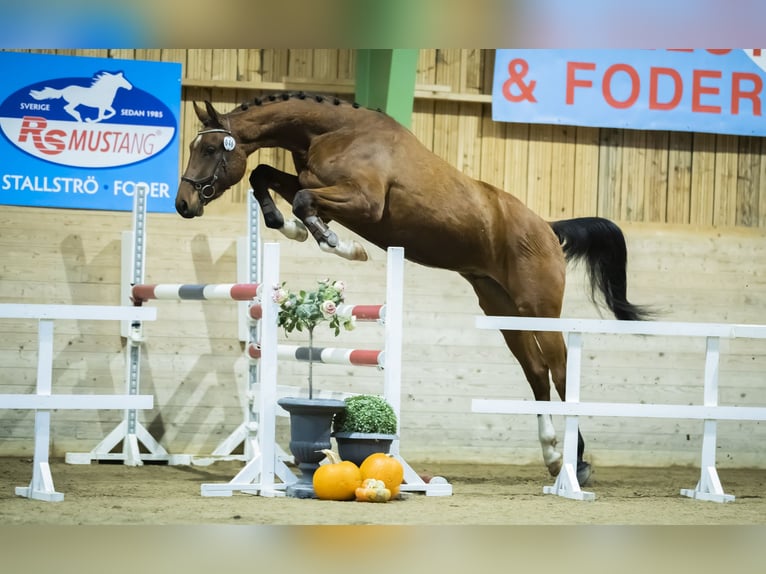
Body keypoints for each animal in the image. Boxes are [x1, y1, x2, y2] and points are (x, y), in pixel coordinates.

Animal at [172, 92, 648, 484]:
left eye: (210, 149)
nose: (183, 204)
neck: (335, 132)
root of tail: (548, 228)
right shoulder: (314, 183)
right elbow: (265, 177)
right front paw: (289, 227)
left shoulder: (362, 201)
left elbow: (304, 200)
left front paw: (339, 245)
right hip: (501, 309)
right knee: (535, 370)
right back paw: (551, 455)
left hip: (539, 307)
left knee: (559, 366)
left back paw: (576, 464)